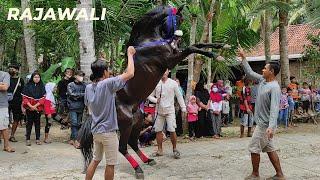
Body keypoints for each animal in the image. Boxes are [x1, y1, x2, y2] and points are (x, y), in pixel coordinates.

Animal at [79, 5, 229, 179]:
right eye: (177, 20)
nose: (178, 39)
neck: (149, 41)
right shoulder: (171, 61)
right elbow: (192, 47)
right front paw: (216, 56)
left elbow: (197, 43)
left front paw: (221, 46)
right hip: (126, 123)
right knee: (123, 147)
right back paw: (138, 169)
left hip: (137, 120)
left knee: (132, 143)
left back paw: (148, 160)